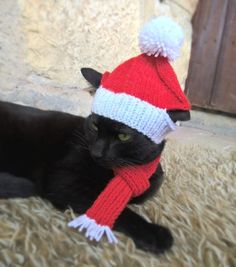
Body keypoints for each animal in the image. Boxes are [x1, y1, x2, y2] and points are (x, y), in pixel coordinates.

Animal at [0, 68, 190, 254]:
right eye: (94, 126)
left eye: (123, 136)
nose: (96, 152)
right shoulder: (64, 180)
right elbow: (110, 205)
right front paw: (154, 233)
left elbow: (143, 193)